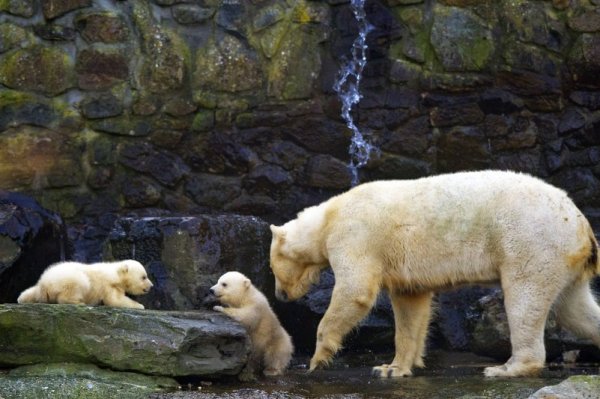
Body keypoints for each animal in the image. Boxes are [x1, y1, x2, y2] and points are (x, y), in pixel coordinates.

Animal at [270, 171, 600, 378]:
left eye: (272, 267)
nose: (279, 294)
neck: (329, 217)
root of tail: (581, 223)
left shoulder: (356, 235)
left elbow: (355, 291)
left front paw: (317, 359)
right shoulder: (402, 264)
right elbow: (410, 306)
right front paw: (391, 368)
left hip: (531, 241)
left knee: (524, 300)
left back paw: (505, 368)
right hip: (563, 257)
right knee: (576, 309)